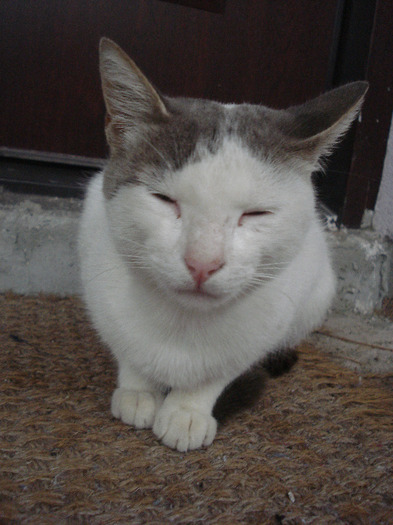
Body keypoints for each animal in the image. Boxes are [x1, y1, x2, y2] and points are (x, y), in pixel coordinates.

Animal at [78, 37, 366, 450]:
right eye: (164, 199)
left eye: (256, 214)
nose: (202, 263)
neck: (182, 325)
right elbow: (127, 349)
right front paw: (138, 390)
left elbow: (218, 372)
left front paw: (186, 411)